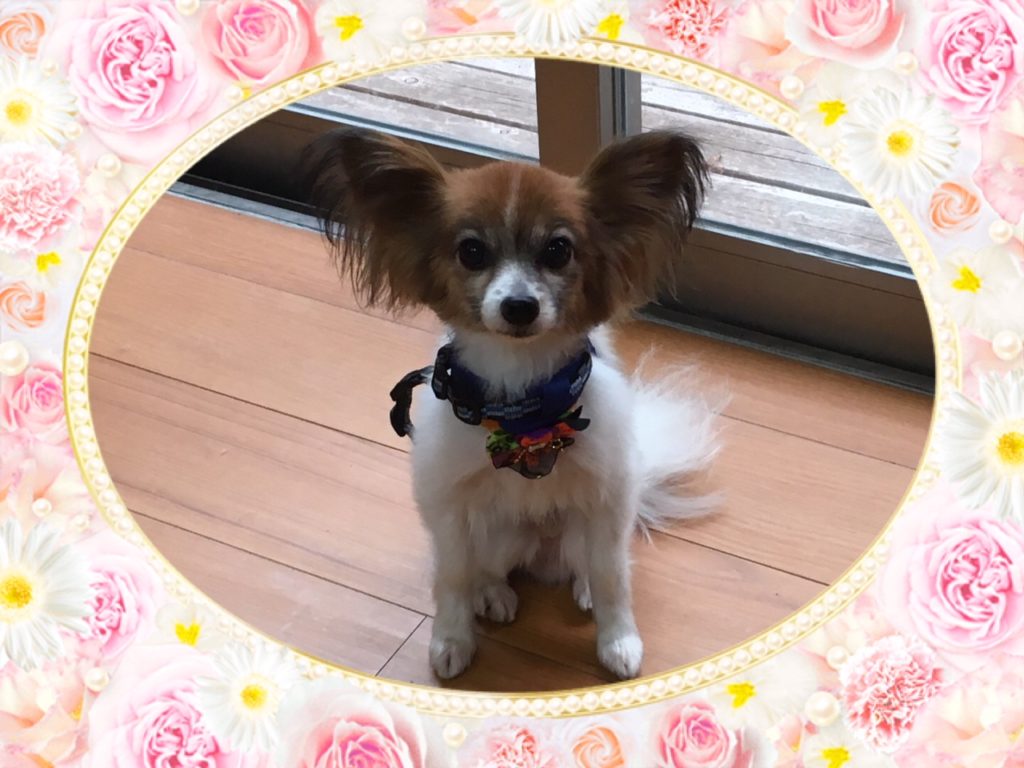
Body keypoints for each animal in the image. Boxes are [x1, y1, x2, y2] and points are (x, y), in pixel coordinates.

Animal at [305, 127, 719, 681]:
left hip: (583, 526)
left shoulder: (607, 497)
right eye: (472, 251)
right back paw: (493, 595)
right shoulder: (449, 503)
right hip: (497, 534)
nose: (519, 306)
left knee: (588, 563)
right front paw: (451, 640)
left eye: (558, 250)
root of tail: (542, 555)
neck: (526, 412)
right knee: (484, 567)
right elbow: (453, 576)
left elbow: (612, 576)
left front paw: (619, 641)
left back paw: (579, 587)